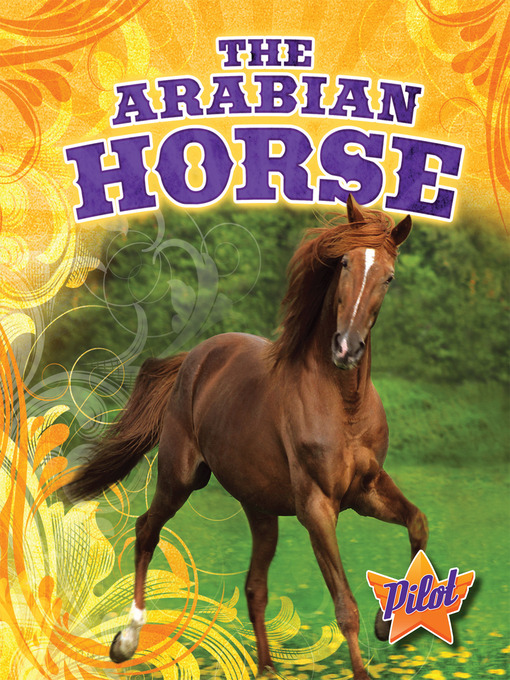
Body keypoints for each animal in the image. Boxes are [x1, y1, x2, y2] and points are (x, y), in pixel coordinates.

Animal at [66, 195, 428, 680]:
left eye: (388, 276)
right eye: (345, 262)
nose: (346, 348)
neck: (344, 405)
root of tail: (194, 357)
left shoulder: (367, 491)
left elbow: (418, 523)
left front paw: (387, 622)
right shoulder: (318, 507)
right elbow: (344, 606)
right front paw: (365, 662)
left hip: (261, 509)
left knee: (255, 586)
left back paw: (267, 668)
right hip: (181, 477)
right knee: (146, 531)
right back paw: (126, 643)